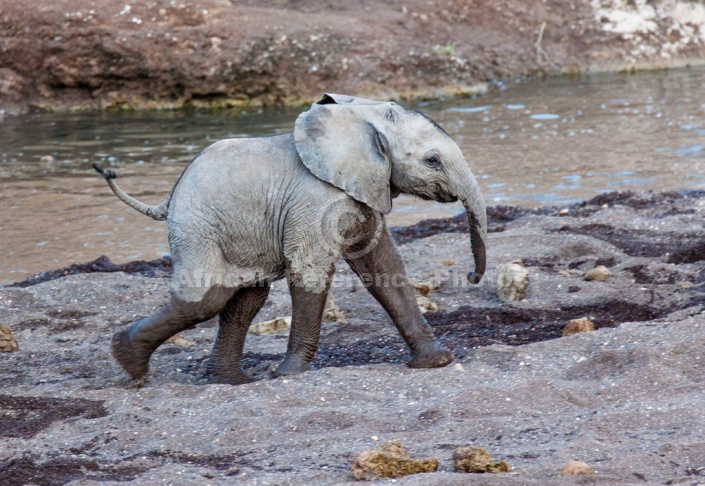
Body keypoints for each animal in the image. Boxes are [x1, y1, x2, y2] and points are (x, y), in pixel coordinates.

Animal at [96, 93, 486, 386]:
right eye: (433, 161)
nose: (471, 276)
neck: (362, 116)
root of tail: (169, 197)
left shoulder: (364, 193)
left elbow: (384, 270)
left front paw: (437, 362)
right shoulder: (315, 201)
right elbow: (310, 272)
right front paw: (287, 374)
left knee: (244, 302)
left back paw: (231, 381)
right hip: (197, 227)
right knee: (205, 298)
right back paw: (128, 361)